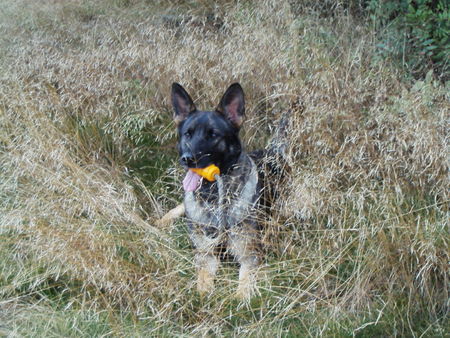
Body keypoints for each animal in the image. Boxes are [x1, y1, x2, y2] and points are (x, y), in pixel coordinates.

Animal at [171, 83, 286, 300]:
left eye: (213, 134)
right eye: (187, 134)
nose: (188, 158)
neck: (214, 198)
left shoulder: (250, 256)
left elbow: (242, 293)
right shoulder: (206, 255)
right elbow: (202, 287)